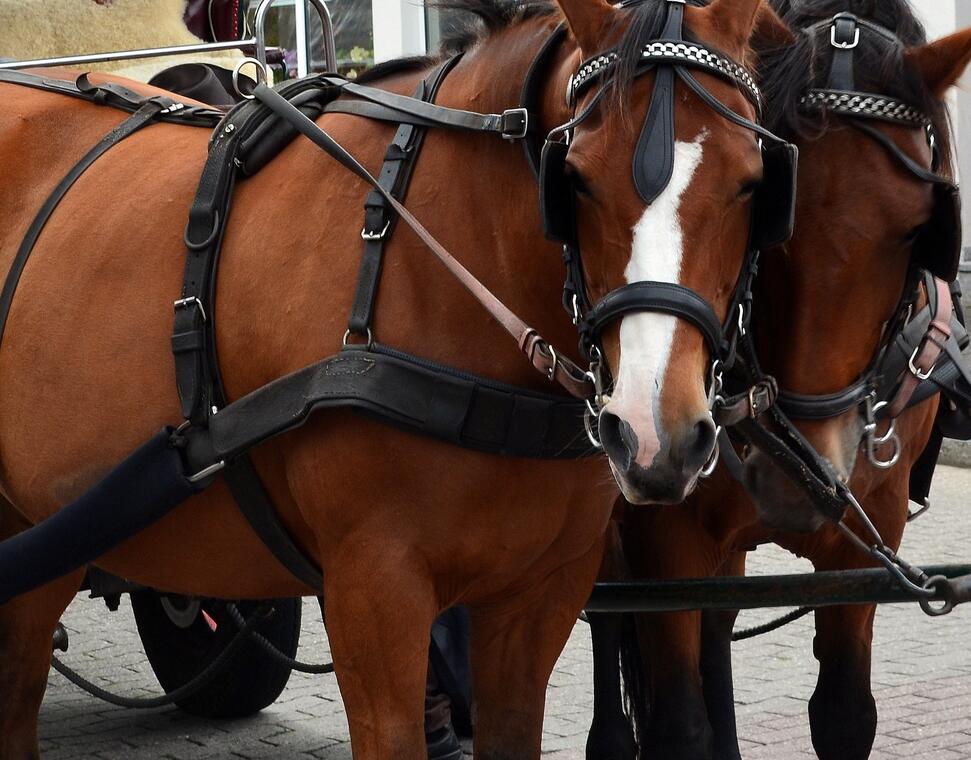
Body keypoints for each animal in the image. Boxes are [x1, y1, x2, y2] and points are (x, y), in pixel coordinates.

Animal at [588, 1, 971, 760]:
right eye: (776, 218)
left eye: (917, 229)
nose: (800, 480)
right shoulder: (663, 531)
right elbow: (678, 720)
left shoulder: (868, 527)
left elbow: (844, 713)